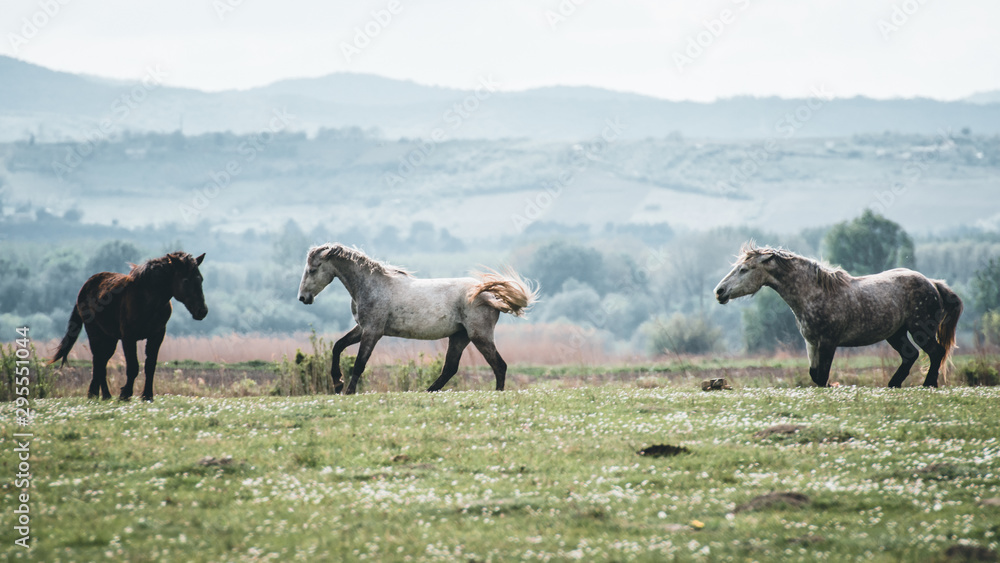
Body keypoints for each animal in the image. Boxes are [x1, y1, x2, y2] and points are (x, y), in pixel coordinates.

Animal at [50, 251, 209, 401]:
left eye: (200, 279)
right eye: (186, 280)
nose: (202, 311)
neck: (149, 297)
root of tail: (84, 288)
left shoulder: (157, 336)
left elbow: (150, 366)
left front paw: (147, 396)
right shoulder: (128, 337)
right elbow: (133, 367)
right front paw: (125, 395)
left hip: (110, 338)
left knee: (101, 361)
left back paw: (102, 395)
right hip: (95, 334)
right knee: (98, 361)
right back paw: (96, 394)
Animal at [297, 243, 538, 394]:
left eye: (312, 269)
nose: (303, 298)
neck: (372, 286)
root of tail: (489, 295)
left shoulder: (373, 331)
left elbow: (359, 364)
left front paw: (348, 391)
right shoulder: (362, 328)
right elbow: (337, 346)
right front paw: (337, 384)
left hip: (480, 336)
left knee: (499, 365)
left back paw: (497, 393)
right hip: (459, 337)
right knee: (450, 368)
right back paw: (427, 391)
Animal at [714, 242, 962, 388]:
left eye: (744, 269)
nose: (719, 291)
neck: (814, 293)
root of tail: (933, 283)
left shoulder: (828, 342)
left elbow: (823, 375)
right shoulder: (811, 343)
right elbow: (815, 374)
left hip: (920, 328)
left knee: (935, 352)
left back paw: (928, 384)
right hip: (896, 333)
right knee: (910, 355)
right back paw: (894, 384)